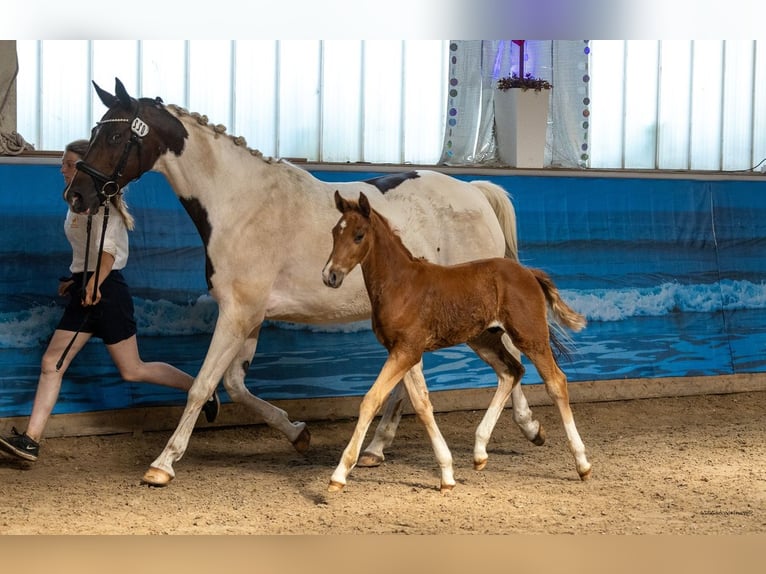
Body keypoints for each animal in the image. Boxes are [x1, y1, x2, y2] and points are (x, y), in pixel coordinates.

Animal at [65, 77, 546, 486]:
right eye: (95, 130)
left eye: (114, 137)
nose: (77, 195)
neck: (239, 201)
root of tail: (475, 192)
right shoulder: (250, 315)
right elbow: (235, 386)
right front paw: (298, 433)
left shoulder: (237, 313)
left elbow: (202, 386)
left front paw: (163, 464)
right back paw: (381, 448)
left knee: (510, 356)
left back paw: (524, 428)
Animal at [322, 191, 591, 492]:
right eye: (335, 232)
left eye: (359, 235)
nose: (330, 275)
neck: (399, 284)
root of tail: (528, 272)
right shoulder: (404, 352)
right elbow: (422, 404)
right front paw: (447, 475)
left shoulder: (405, 351)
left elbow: (372, 400)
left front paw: (339, 474)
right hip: (485, 339)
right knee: (511, 372)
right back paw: (480, 452)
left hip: (530, 335)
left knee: (556, 381)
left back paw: (582, 464)